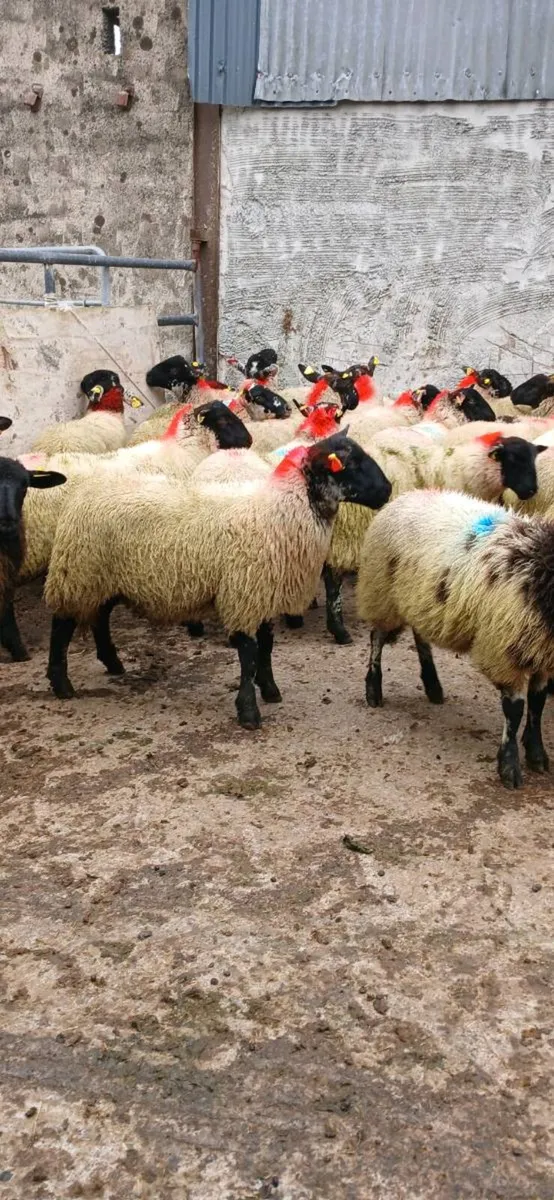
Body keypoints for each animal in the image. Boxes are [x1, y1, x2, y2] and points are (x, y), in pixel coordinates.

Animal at [44, 432, 392, 727]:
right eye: (351, 463)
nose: (388, 490)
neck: (276, 512)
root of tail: (86, 488)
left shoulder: (260, 592)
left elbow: (267, 646)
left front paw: (270, 689)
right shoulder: (243, 593)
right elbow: (248, 654)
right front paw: (249, 711)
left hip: (104, 577)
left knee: (100, 616)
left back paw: (113, 663)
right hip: (79, 571)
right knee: (62, 624)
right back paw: (61, 684)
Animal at [323, 428, 543, 645]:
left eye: (533, 458)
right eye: (513, 459)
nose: (531, 490)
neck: (462, 471)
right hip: (342, 539)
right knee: (333, 584)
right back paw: (340, 631)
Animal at [356, 487, 554, 788]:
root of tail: (407, 495)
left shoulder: (540, 650)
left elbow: (538, 703)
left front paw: (536, 754)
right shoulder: (507, 649)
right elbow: (515, 710)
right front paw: (509, 767)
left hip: (420, 598)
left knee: (420, 635)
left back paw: (433, 685)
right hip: (382, 592)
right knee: (376, 638)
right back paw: (373, 689)